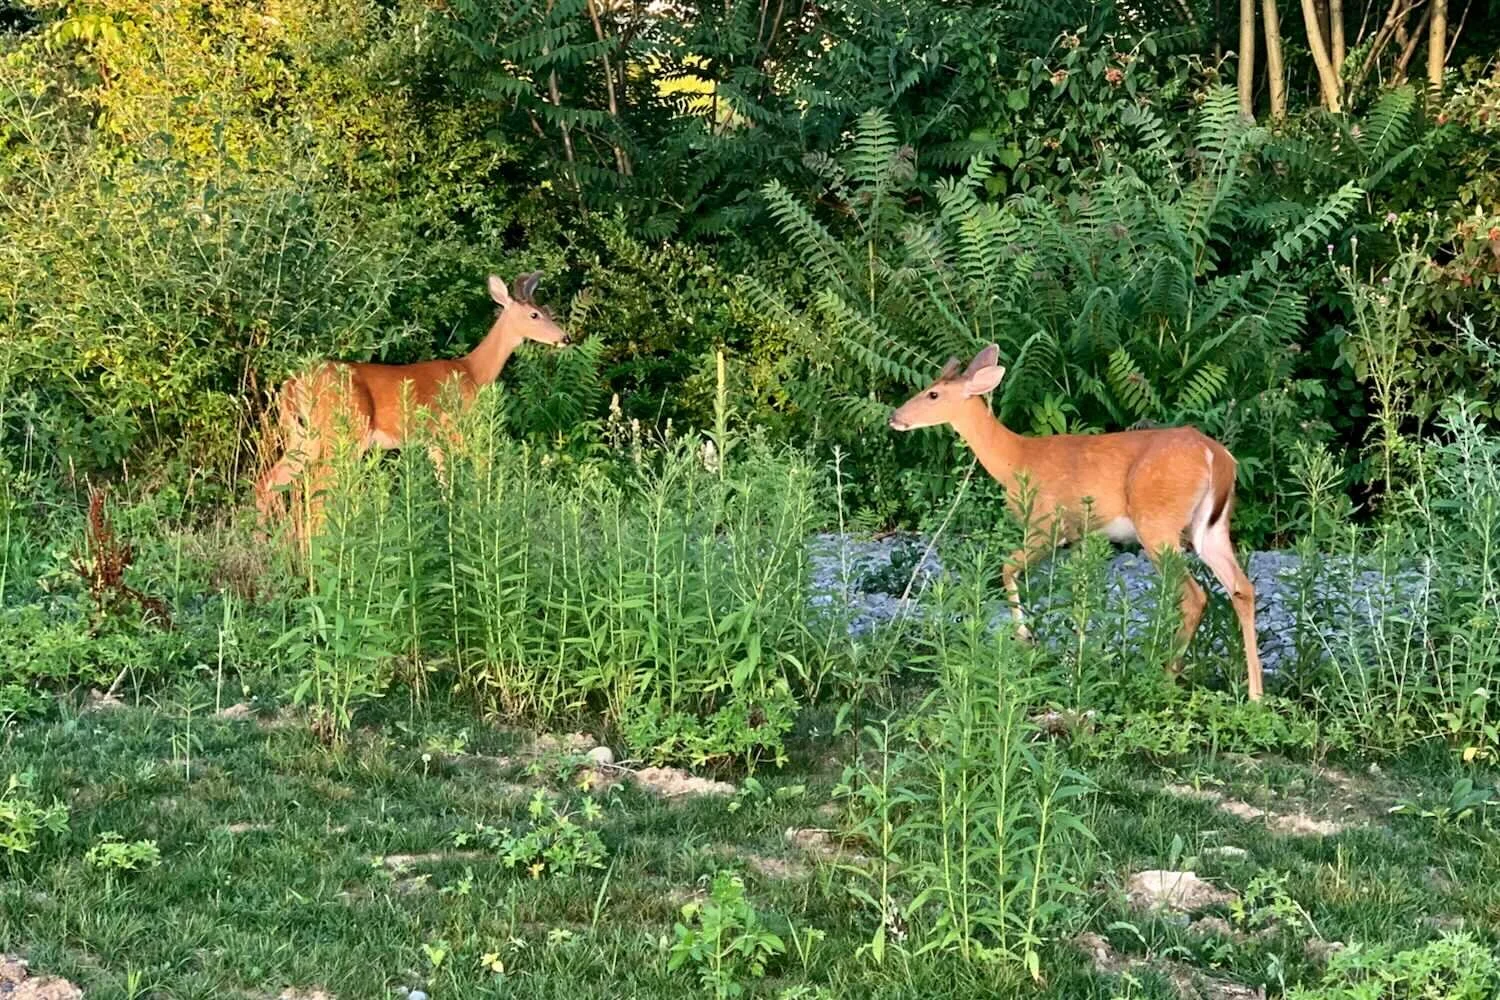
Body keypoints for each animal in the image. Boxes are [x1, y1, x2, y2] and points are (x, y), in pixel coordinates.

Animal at [254, 271, 572, 539]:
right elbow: (475, 471)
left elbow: (445, 488)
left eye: (548, 311)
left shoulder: (433, 442)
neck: (473, 372)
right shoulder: (453, 430)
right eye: (534, 314)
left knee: (268, 481)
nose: (565, 338)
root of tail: (291, 384)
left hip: (302, 435)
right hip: (344, 431)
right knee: (318, 488)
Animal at [888, 345, 1264, 701]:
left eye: (933, 394)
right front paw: (1077, 662)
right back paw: (1255, 694)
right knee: (1242, 587)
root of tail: (1217, 456)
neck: (1015, 461)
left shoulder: (1048, 524)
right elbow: (1080, 594)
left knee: (1194, 596)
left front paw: (1026, 638)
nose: (895, 417)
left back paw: (1166, 677)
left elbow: (1007, 567)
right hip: (1211, 527)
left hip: (1157, 522)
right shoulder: (1083, 537)